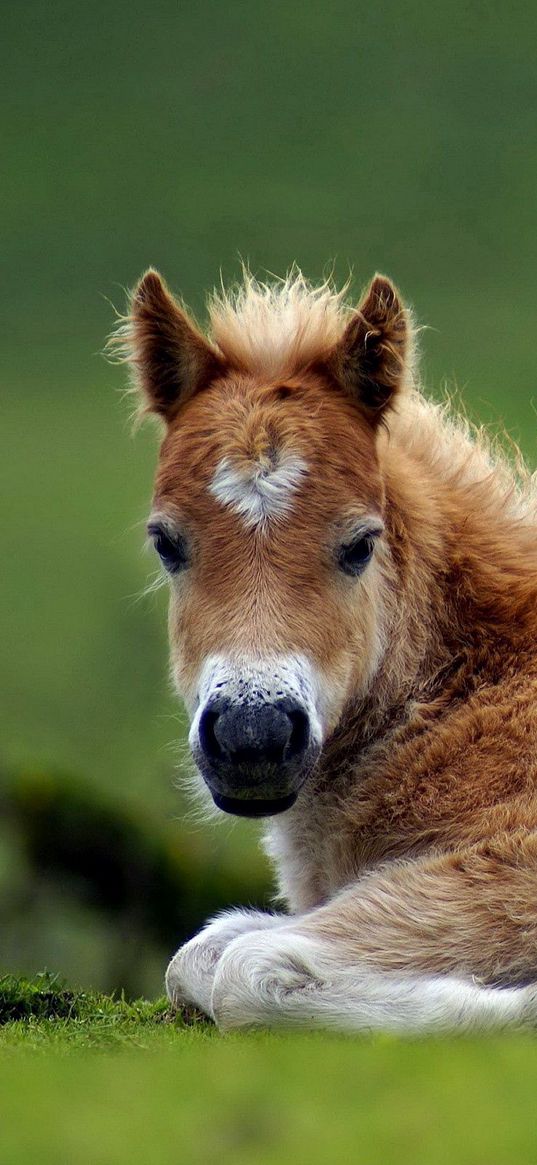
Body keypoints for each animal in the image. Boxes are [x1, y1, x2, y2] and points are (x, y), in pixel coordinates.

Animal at [115, 267, 535, 1034]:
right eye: (165, 542)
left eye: (360, 544)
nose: (252, 738)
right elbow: (206, 950)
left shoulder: (509, 861)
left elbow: (248, 967)